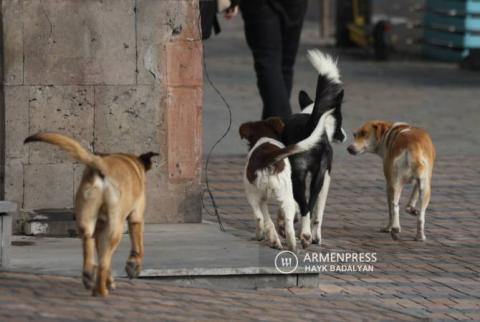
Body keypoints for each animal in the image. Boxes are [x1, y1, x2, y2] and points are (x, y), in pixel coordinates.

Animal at [24, 132, 158, 296]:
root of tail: (101, 165)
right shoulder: (136, 217)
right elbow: (138, 246)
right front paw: (133, 266)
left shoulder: (100, 228)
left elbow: (100, 252)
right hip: (116, 227)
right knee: (104, 262)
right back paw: (101, 290)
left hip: (86, 218)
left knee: (90, 243)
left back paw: (89, 276)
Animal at [238, 109, 332, 250]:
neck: (264, 137)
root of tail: (267, 158)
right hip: (294, 189)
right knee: (294, 218)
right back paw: (294, 242)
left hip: (255, 192)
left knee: (260, 217)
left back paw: (264, 236)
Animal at [282, 49, 344, 248]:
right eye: (341, 121)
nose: (344, 135)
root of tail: (309, 125)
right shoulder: (325, 177)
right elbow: (317, 212)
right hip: (317, 178)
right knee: (309, 205)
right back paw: (308, 234)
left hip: (299, 176)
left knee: (304, 205)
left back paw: (305, 234)